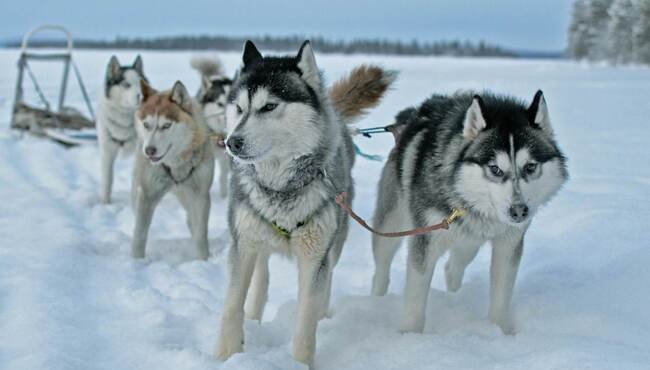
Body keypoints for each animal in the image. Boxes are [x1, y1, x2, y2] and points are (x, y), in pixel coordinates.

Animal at [97, 55, 146, 202]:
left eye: (141, 83)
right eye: (126, 84)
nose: (142, 96)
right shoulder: (107, 152)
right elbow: (107, 181)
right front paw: (104, 203)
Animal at [131, 80, 215, 260]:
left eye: (166, 125)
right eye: (146, 125)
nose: (149, 150)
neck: (175, 164)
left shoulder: (200, 195)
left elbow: (200, 234)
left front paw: (202, 260)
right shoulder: (147, 194)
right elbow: (140, 234)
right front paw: (136, 260)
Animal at [215, 39, 392, 364]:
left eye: (269, 106)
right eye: (239, 108)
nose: (232, 142)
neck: (280, 187)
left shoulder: (314, 256)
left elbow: (305, 320)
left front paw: (299, 362)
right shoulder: (242, 244)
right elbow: (232, 307)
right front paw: (226, 356)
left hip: (334, 242)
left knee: (327, 280)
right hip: (257, 239)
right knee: (261, 277)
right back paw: (254, 317)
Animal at [372, 91, 564, 334]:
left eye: (530, 167)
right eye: (495, 169)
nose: (519, 211)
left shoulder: (508, 244)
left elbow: (501, 296)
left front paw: (499, 332)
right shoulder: (425, 241)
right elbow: (415, 298)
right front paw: (410, 335)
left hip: (468, 243)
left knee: (453, 268)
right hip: (391, 225)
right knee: (381, 267)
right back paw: (377, 299)